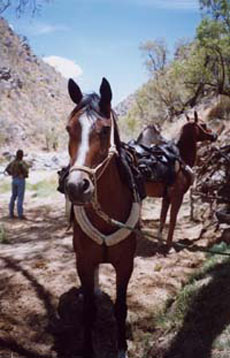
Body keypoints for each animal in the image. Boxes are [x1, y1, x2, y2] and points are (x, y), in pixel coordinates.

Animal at [65, 77, 140, 356]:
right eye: (69, 129)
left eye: (105, 130)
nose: (77, 186)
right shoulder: (84, 261)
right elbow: (88, 312)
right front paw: (87, 349)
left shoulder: (125, 264)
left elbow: (120, 308)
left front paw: (121, 347)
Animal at [140, 113, 217, 248]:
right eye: (203, 125)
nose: (214, 135)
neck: (181, 159)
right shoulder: (177, 196)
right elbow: (172, 219)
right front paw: (169, 245)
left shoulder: (167, 197)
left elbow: (163, 217)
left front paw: (160, 242)